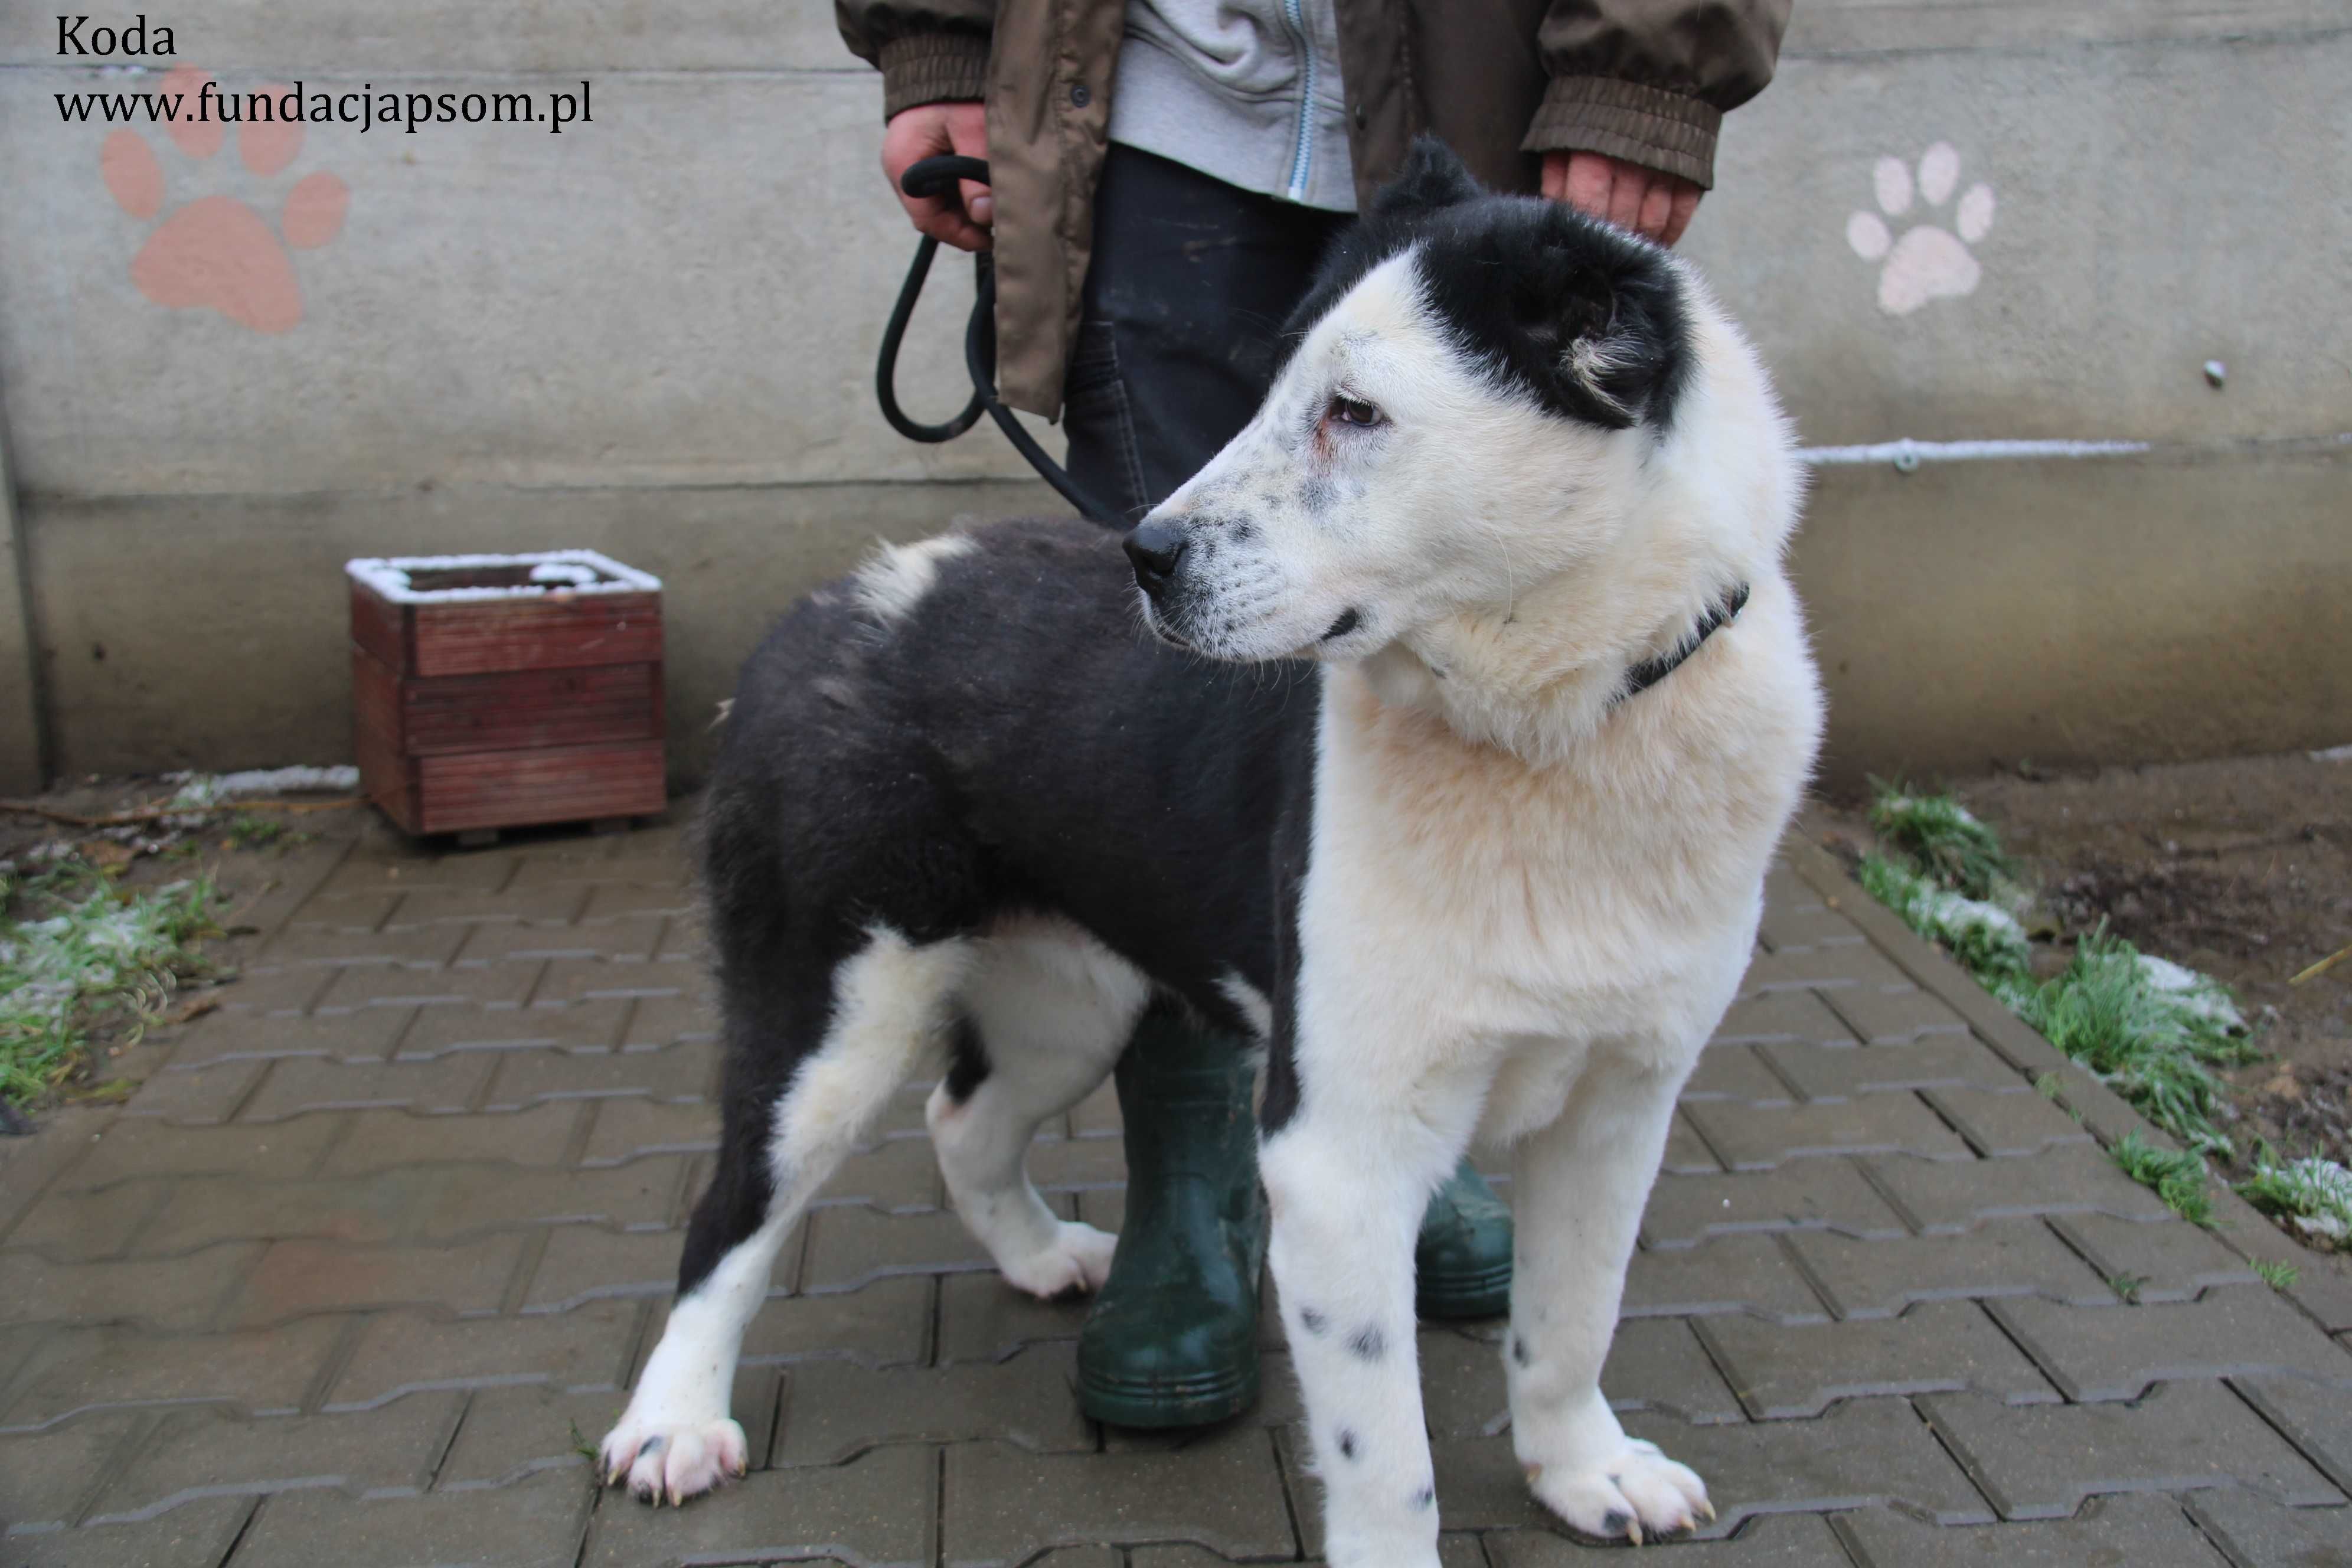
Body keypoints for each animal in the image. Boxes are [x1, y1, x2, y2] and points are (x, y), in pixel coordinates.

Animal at [602, 141, 1815, 1561]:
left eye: (1353, 410)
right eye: (1276, 391)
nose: (1145, 554)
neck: (1551, 741)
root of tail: (821, 608)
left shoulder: (1621, 1104)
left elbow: (1570, 1326)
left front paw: (1583, 1471)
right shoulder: (1337, 1158)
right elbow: (1388, 1463)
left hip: (1068, 1001)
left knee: (964, 1118)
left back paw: (1038, 1257)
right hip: (829, 1017)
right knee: (730, 1212)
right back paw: (673, 1424)